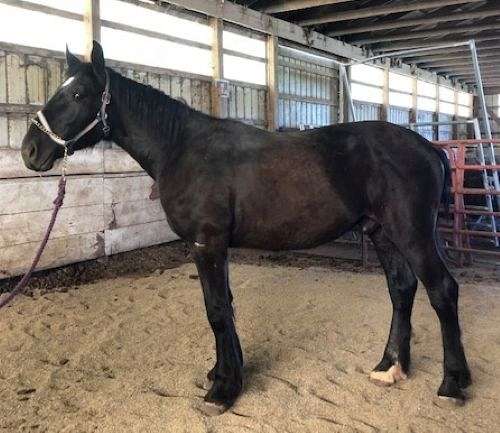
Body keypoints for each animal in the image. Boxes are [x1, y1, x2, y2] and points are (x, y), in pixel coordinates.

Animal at [19, 43, 470, 412]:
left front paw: (222, 391)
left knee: (442, 290)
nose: (30, 150)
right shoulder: (212, 247)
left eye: (77, 94)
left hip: (411, 232)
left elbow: (217, 310)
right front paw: (226, 374)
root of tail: (428, 148)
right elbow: (226, 306)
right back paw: (390, 367)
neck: (182, 148)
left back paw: (452, 383)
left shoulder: (207, 243)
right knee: (402, 289)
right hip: (382, 232)